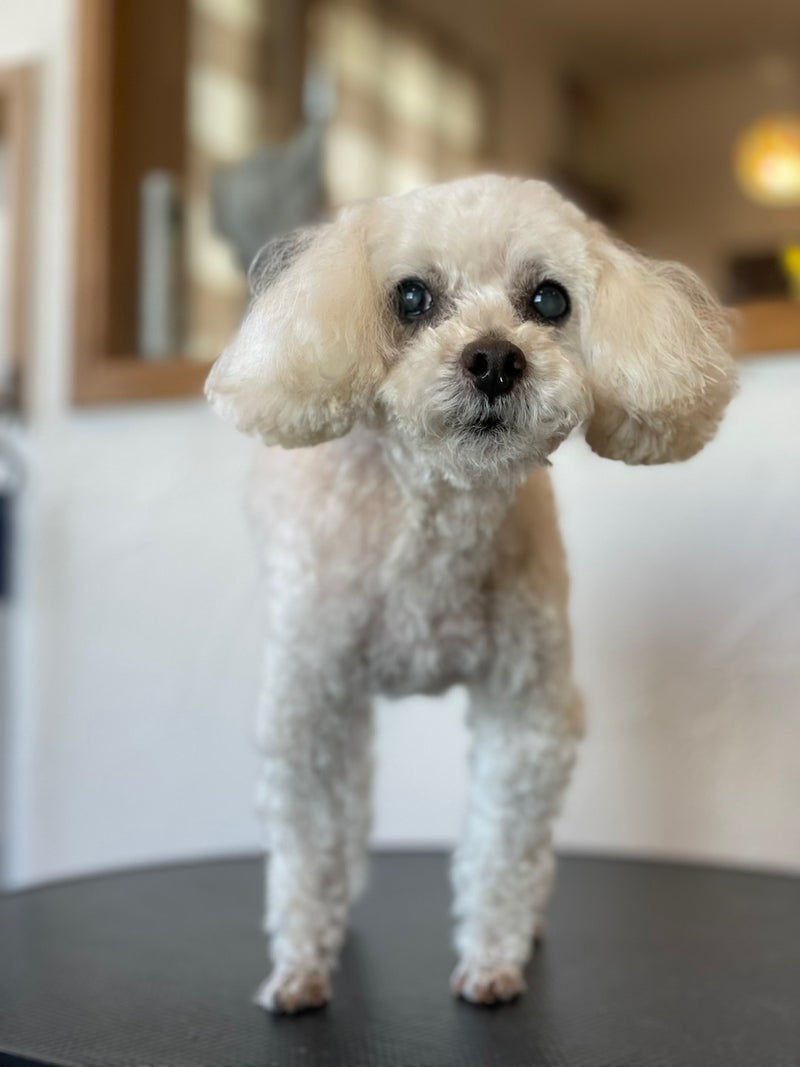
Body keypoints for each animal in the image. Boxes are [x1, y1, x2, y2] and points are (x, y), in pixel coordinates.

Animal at [205, 175, 737, 1013]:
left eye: (549, 299)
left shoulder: (526, 709)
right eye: (411, 296)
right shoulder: (310, 704)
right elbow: (308, 842)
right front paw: (300, 965)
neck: (434, 519)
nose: (493, 358)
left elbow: (503, 846)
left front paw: (493, 958)